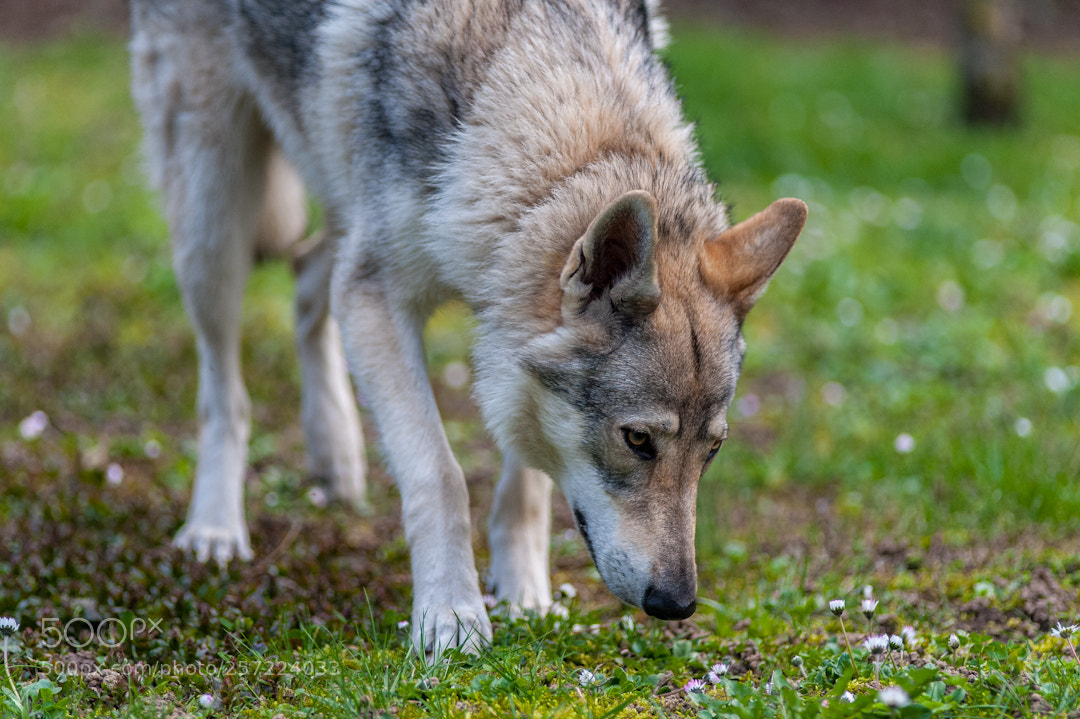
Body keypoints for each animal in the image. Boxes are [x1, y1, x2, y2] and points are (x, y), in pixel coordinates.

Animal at [129, 0, 806, 659]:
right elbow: (440, 474)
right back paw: (216, 527)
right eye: (638, 440)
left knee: (305, 278)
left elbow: (527, 481)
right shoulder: (380, 298)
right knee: (226, 390)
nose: (677, 604)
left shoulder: (504, 332)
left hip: (335, 220)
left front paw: (525, 594)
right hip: (215, 221)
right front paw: (451, 617)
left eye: (712, 450)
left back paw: (335, 452)